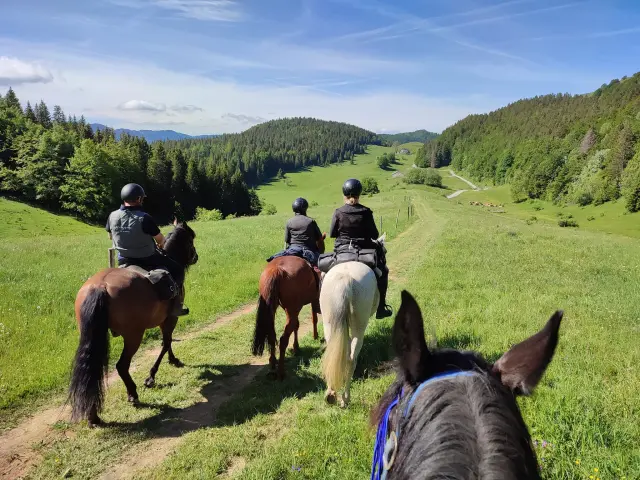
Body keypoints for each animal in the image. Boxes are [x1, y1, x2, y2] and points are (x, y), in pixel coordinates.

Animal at [68, 221, 198, 427]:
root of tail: (100, 286)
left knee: (92, 369)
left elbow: (167, 342)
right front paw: (151, 377)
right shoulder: (171, 318)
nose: (196, 256)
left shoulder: (163, 320)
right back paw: (132, 394)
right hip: (133, 335)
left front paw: (172, 360)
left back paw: (93, 415)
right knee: (122, 365)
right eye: (191, 239)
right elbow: (166, 342)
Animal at [251, 234, 326, 379]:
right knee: (283, 339)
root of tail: (277, 269)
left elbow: (297, 325)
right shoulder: (312, 300)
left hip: (274, 309)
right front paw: (314, 336)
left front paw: (297, 347)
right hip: (292, 309)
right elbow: (313, 319)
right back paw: (281, 372)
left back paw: (272, 363)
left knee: (272, 335)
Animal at [320, 235, 385, 408]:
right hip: (359, 325)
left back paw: (331, 395)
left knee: (333, 354)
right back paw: (345, 399)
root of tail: (346, 279)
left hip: (329, 324)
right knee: (350, 358)